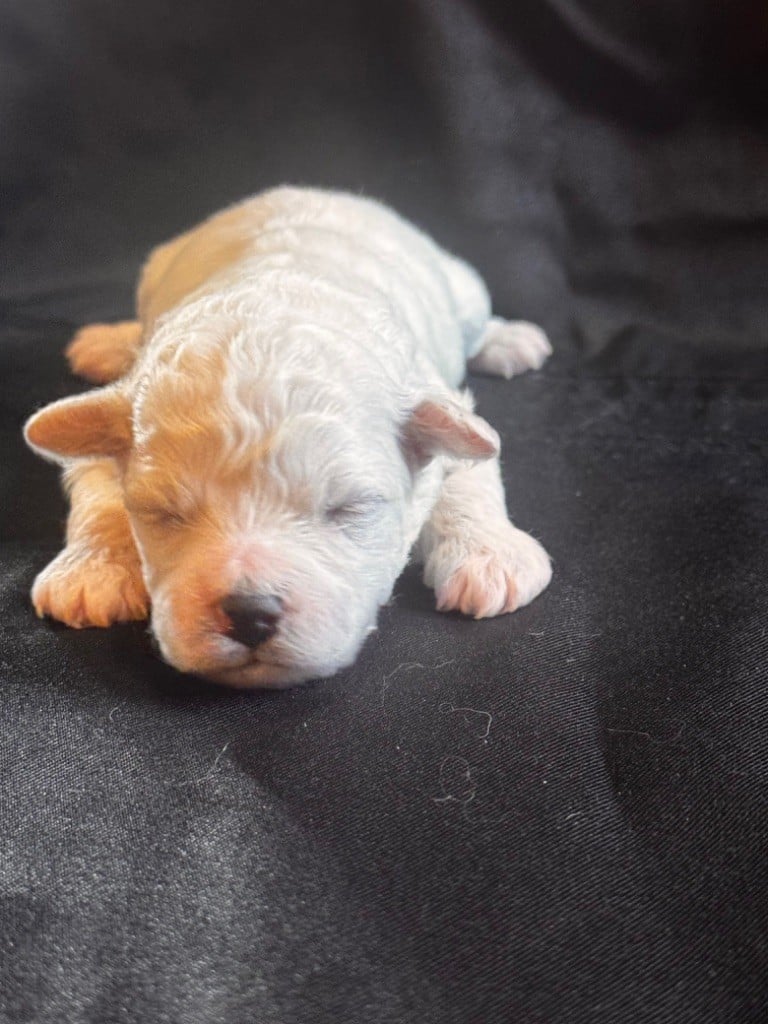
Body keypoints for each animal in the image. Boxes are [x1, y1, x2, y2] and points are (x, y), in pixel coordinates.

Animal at [24, 186, 552, 687]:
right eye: (164, 513)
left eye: (349, 509)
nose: (250, 614)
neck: (269, 304)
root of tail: (311, 190)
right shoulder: (108, 430)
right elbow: (100, 491)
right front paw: (94, 570)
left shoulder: (435, 397)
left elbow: (467, 471)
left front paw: (491, 556)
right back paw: (109, 341)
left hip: (464, 288)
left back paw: (509, 340)